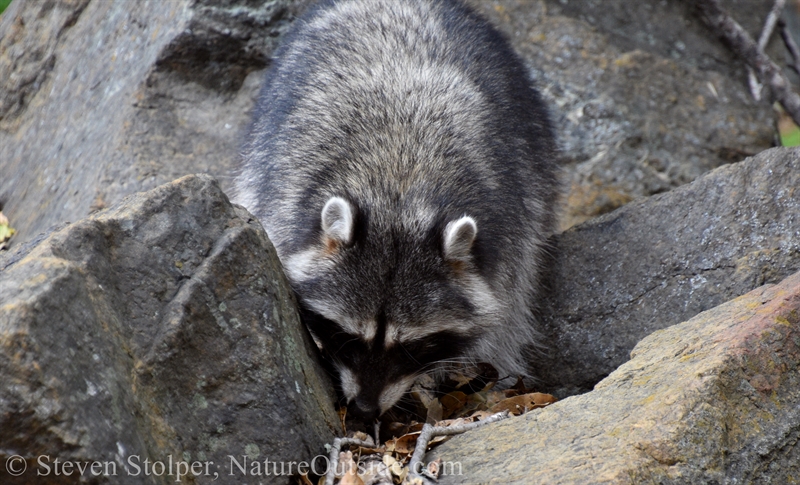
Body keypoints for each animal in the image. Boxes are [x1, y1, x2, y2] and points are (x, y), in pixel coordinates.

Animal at [236, 0, 558, 421]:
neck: (398, 199)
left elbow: (505, 315)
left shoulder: (510, 232)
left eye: (413, 347)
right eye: (347, 336)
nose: (365, 409)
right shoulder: (282, 199)